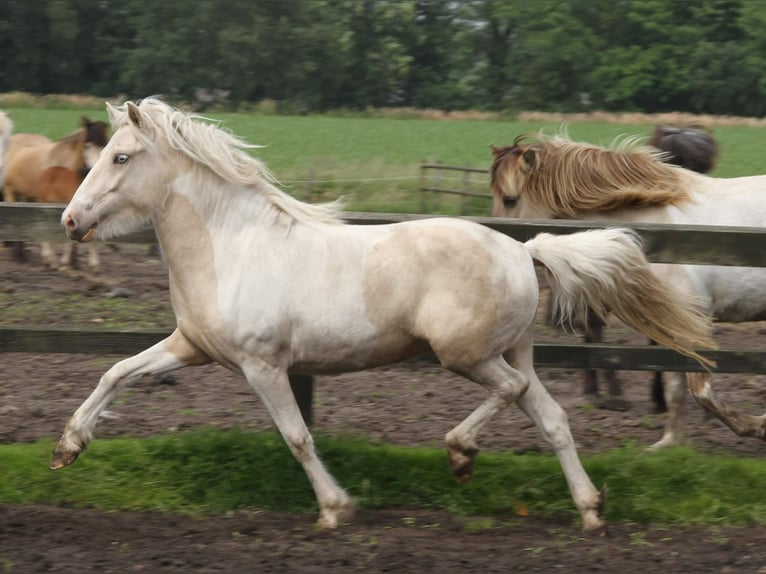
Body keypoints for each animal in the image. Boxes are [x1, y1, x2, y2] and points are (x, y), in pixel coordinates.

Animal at [51, 100, 716, 536]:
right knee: (551, 418)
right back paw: (589, 509)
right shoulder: (191, 345)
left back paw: (461, 453)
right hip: (512, 350)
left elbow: (297, 437)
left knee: (510, 392)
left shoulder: (262, 365)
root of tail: (523, 251)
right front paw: (67, 448)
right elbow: (116, 371)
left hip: (466, 355)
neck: (232, 246)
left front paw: (335, 509)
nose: (69, 221)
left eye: (120, 157)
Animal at [492, 134, 766, 450]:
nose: (497, 248)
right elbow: (674, 385)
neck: (664, 233)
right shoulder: (668, 323)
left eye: (510, 199)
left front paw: (757, 426)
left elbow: (701, 388)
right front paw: (668, 443)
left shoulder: (695, 319)